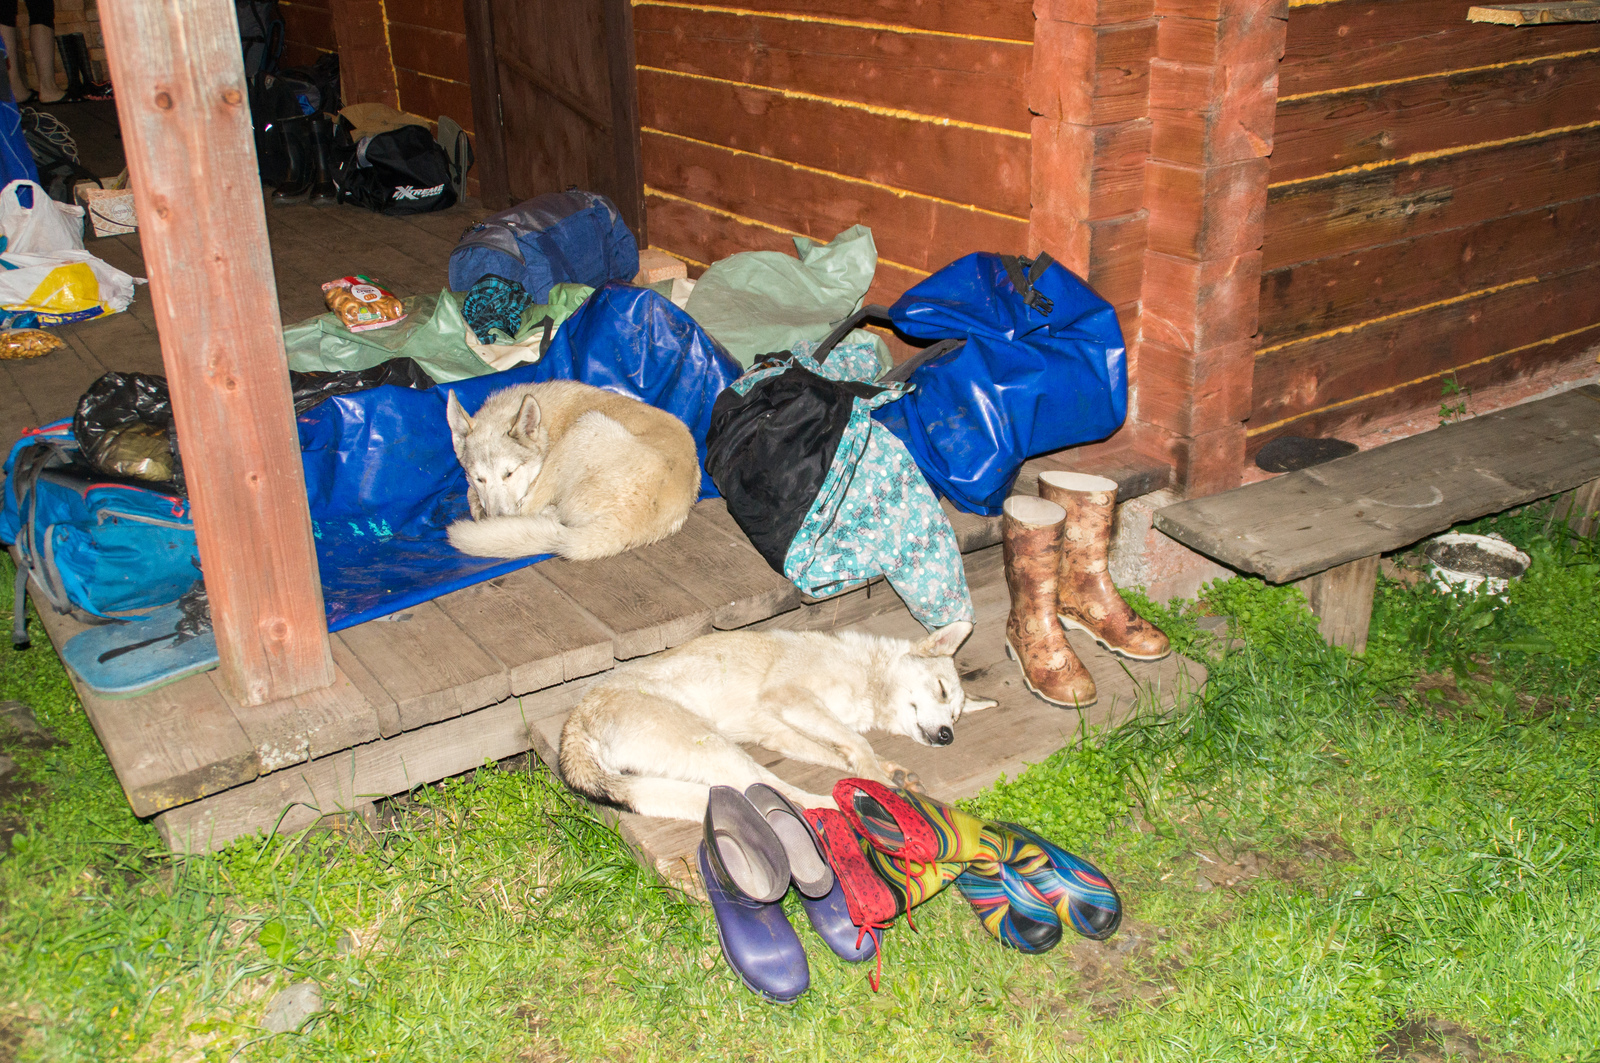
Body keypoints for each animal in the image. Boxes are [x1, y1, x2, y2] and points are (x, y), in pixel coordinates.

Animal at [451, 384, 700, 563]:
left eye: (509, 474)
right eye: (479, 479)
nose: (496, 519)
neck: (546, 426)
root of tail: (628, 525)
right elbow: (471, 491)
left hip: (584, 427)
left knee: (533, 509)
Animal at [556, 624, 992, 819]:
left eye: (956, 714)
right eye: (941, 690)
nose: (948, 736)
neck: (868, 679)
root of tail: (575, 721)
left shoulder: (781, 730)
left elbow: (841, 752)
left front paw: (890, 771)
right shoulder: (790, 698)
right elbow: (859, 745)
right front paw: (878, 778)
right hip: (716, 747)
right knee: (779, 792)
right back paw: (847, 804)